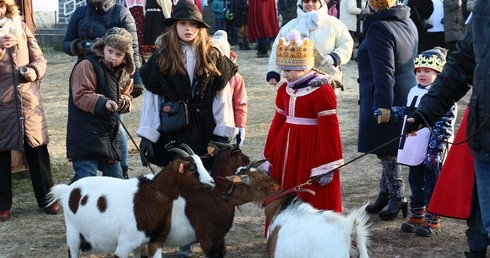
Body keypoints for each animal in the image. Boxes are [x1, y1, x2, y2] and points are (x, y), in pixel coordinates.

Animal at [45, 145, 213, 258]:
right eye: (191, 168)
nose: (212, 183)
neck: (147, 198)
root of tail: (67, 190)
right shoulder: (124, 245)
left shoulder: (153, 242)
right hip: (73, 235)